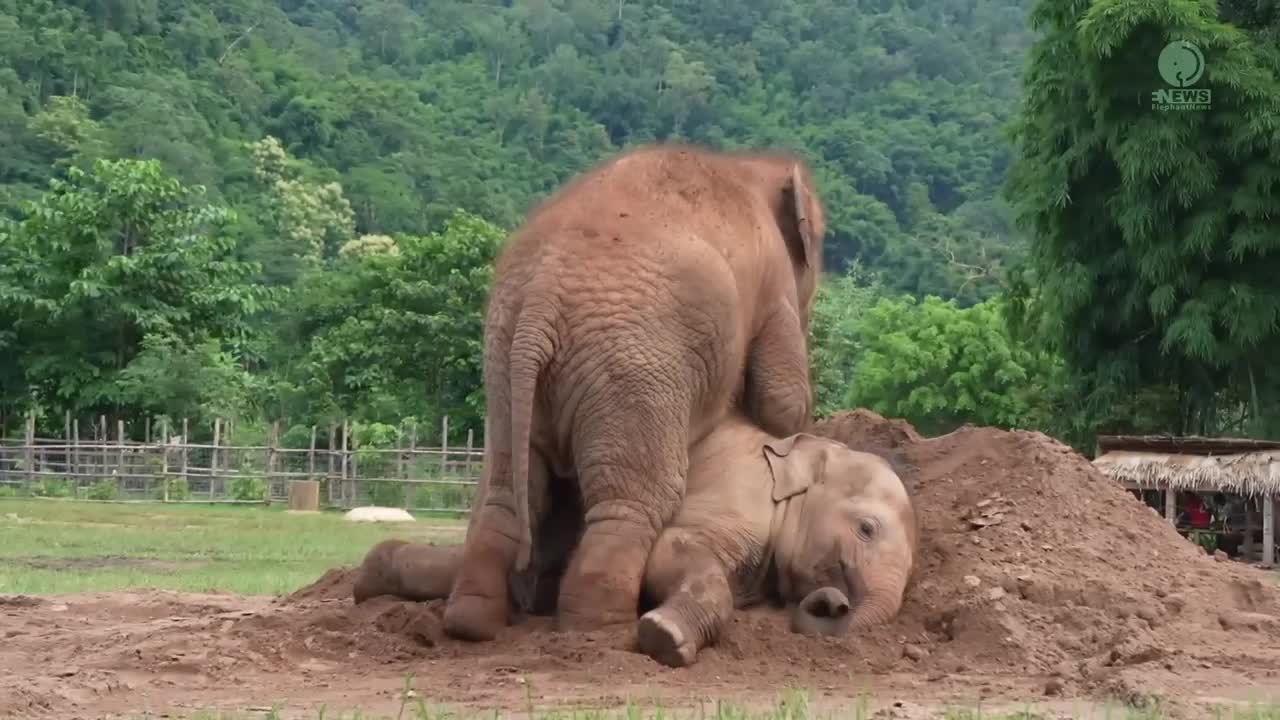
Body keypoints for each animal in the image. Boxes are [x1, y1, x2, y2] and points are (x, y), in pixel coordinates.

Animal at [350, 412, 916, 666]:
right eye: (866, 529)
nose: (834, 602)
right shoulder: (735, 493)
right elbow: (667, 551)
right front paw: (664, 637)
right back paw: (369, 578)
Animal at [448, 141, 829, 638]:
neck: (749, 162)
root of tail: (540, 301)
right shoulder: (775, 282)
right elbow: (780, 400)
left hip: (504, 361)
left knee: (510, 492)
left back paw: (472, 622)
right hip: (635, 364)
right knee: (634, 500)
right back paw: (600, 630)